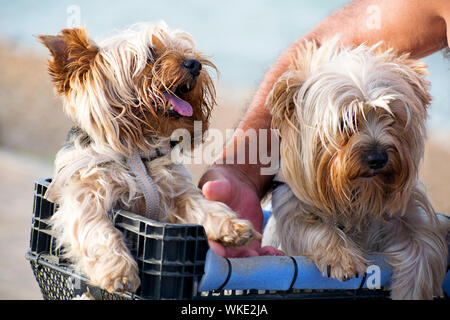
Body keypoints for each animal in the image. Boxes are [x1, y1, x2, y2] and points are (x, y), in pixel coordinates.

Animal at [39, 21, 260, 294]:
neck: (139, 153)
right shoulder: (84, 195)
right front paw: (120, 272)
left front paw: (233, 226)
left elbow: (203, 206)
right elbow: (99, 229)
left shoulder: (176, 193)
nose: (194, 64)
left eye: (182, 49)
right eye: (149, 56)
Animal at [264, 40, 450, 300]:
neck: (358, 194)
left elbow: (424, 245)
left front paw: (410, 292)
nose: (378, 158)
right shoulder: (292, 206)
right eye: (345, 122)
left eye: (391, 116)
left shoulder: (406, 216)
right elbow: (308, 225)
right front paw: (341, 257)